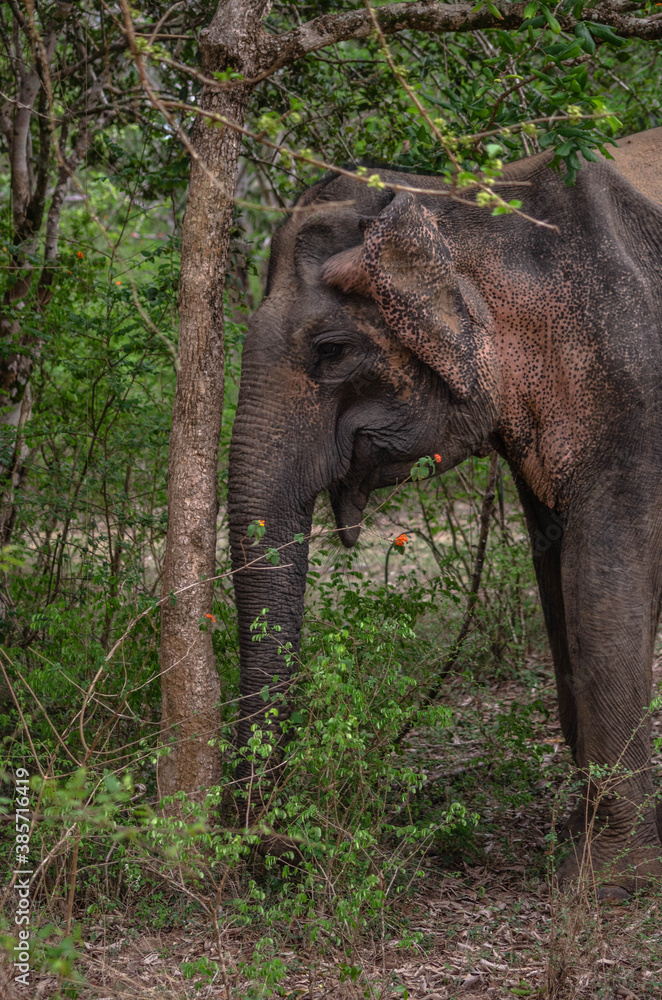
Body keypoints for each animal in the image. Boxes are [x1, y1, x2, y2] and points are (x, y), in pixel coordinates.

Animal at [228, 127, 662, 896]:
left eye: (331, 350)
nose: (273, 850)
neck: (461, 204)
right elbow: (559, 571)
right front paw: (576, 840)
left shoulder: (635, 387)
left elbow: (605, 579)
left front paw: (605, 880)